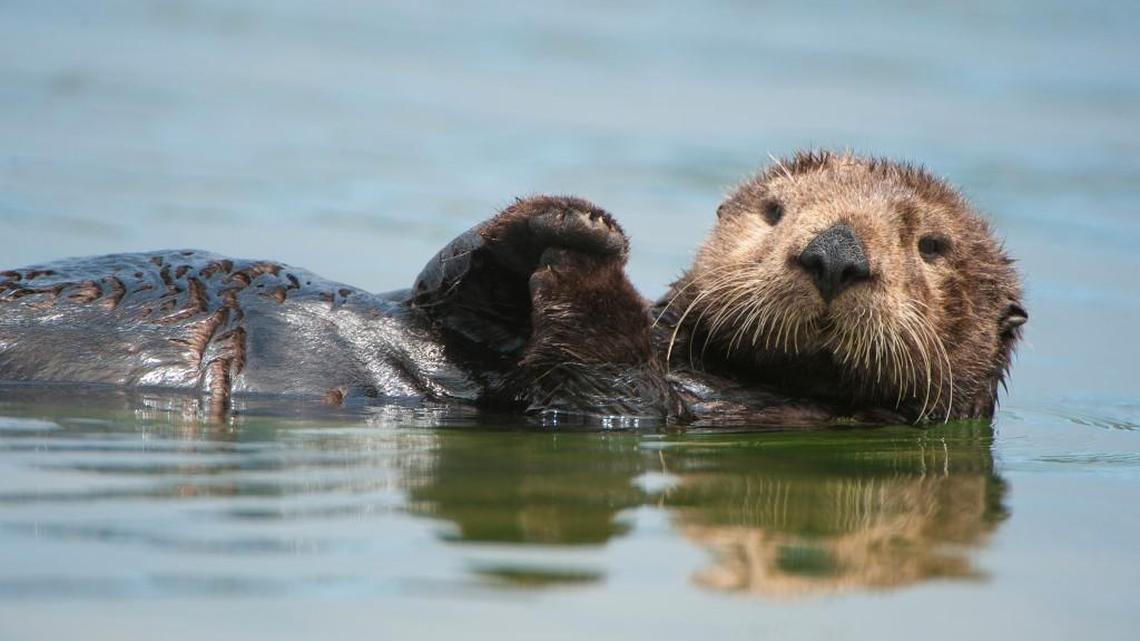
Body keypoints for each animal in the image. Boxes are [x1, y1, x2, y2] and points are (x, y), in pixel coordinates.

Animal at [0, 151, 1025, 426]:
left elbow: (592, 381)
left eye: (931, 244)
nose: (834, 252)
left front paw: (585, 247)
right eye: (776, 211)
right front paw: (569, 217)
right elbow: (446, 288)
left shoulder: (631, 407)